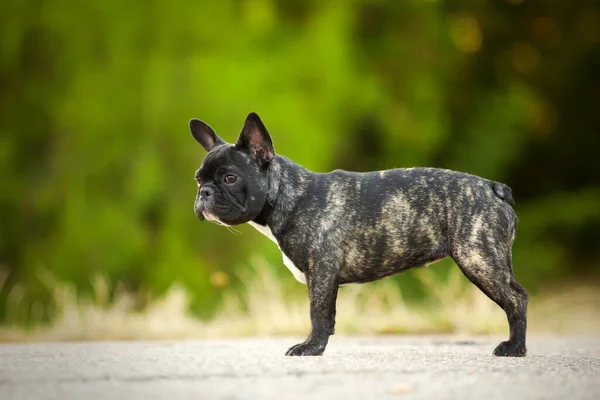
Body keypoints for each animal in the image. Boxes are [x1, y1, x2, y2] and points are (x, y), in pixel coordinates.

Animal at [190, 111, 528, 356]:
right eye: (198, 179)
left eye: (230, 178)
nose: (204, 193)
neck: (290, 195)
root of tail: (492, 187)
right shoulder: (324, 277)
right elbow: (328, 316)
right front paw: (319, 345)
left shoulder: (321, 271)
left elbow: (317, 312)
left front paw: (310, 348)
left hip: (478, 259)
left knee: (516, 300)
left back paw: (514, 348)